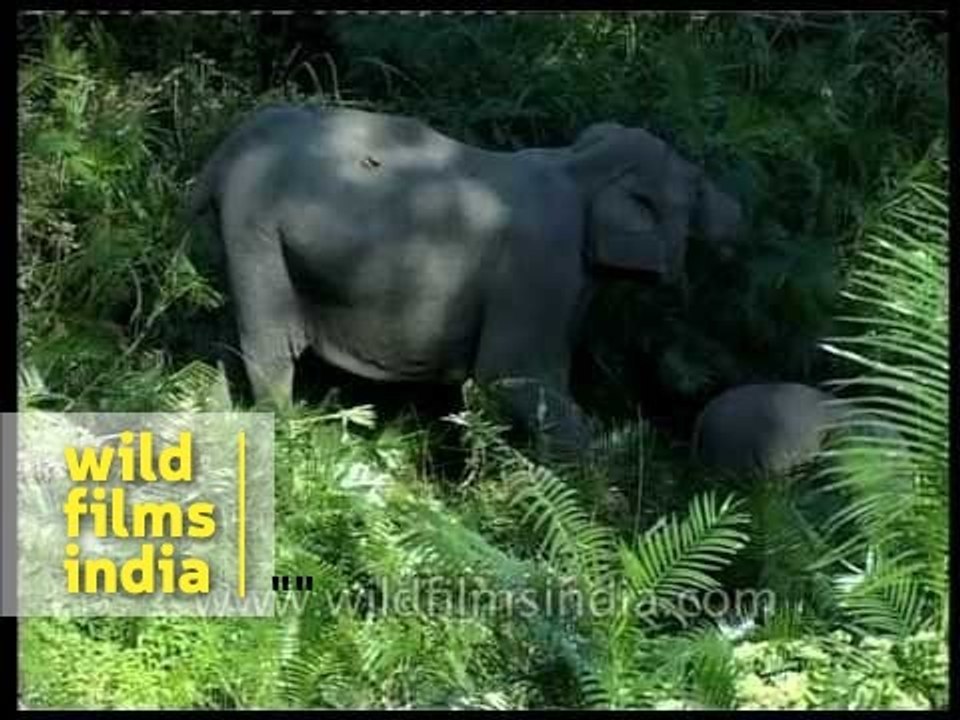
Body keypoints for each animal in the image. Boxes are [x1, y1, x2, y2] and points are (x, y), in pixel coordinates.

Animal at [189, 104, 743, 458]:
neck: (579, 162)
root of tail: (224, 152)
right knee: (268, 345)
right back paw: (287, 437)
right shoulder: (540, 264)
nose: (741, 215)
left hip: (235, 233)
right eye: (697, 188)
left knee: (225, 337)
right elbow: (512, 376)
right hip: (256, 229)